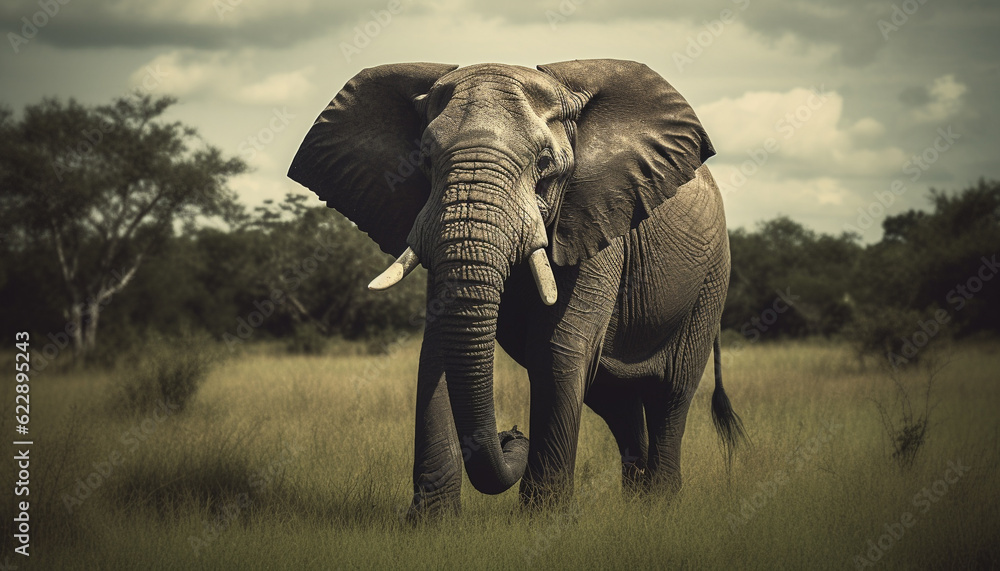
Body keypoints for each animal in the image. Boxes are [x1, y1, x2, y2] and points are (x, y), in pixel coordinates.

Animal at [287, 59, 746, 518]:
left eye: (544, 163)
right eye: (425, 160)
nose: (511, 434)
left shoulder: (598, 216)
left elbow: (556, 349)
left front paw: (544, 519)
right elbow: (437, 348)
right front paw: (431, 522)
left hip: (710, 282)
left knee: (671, 393)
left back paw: (660, 505)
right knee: (616, 400)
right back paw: (635, 505)